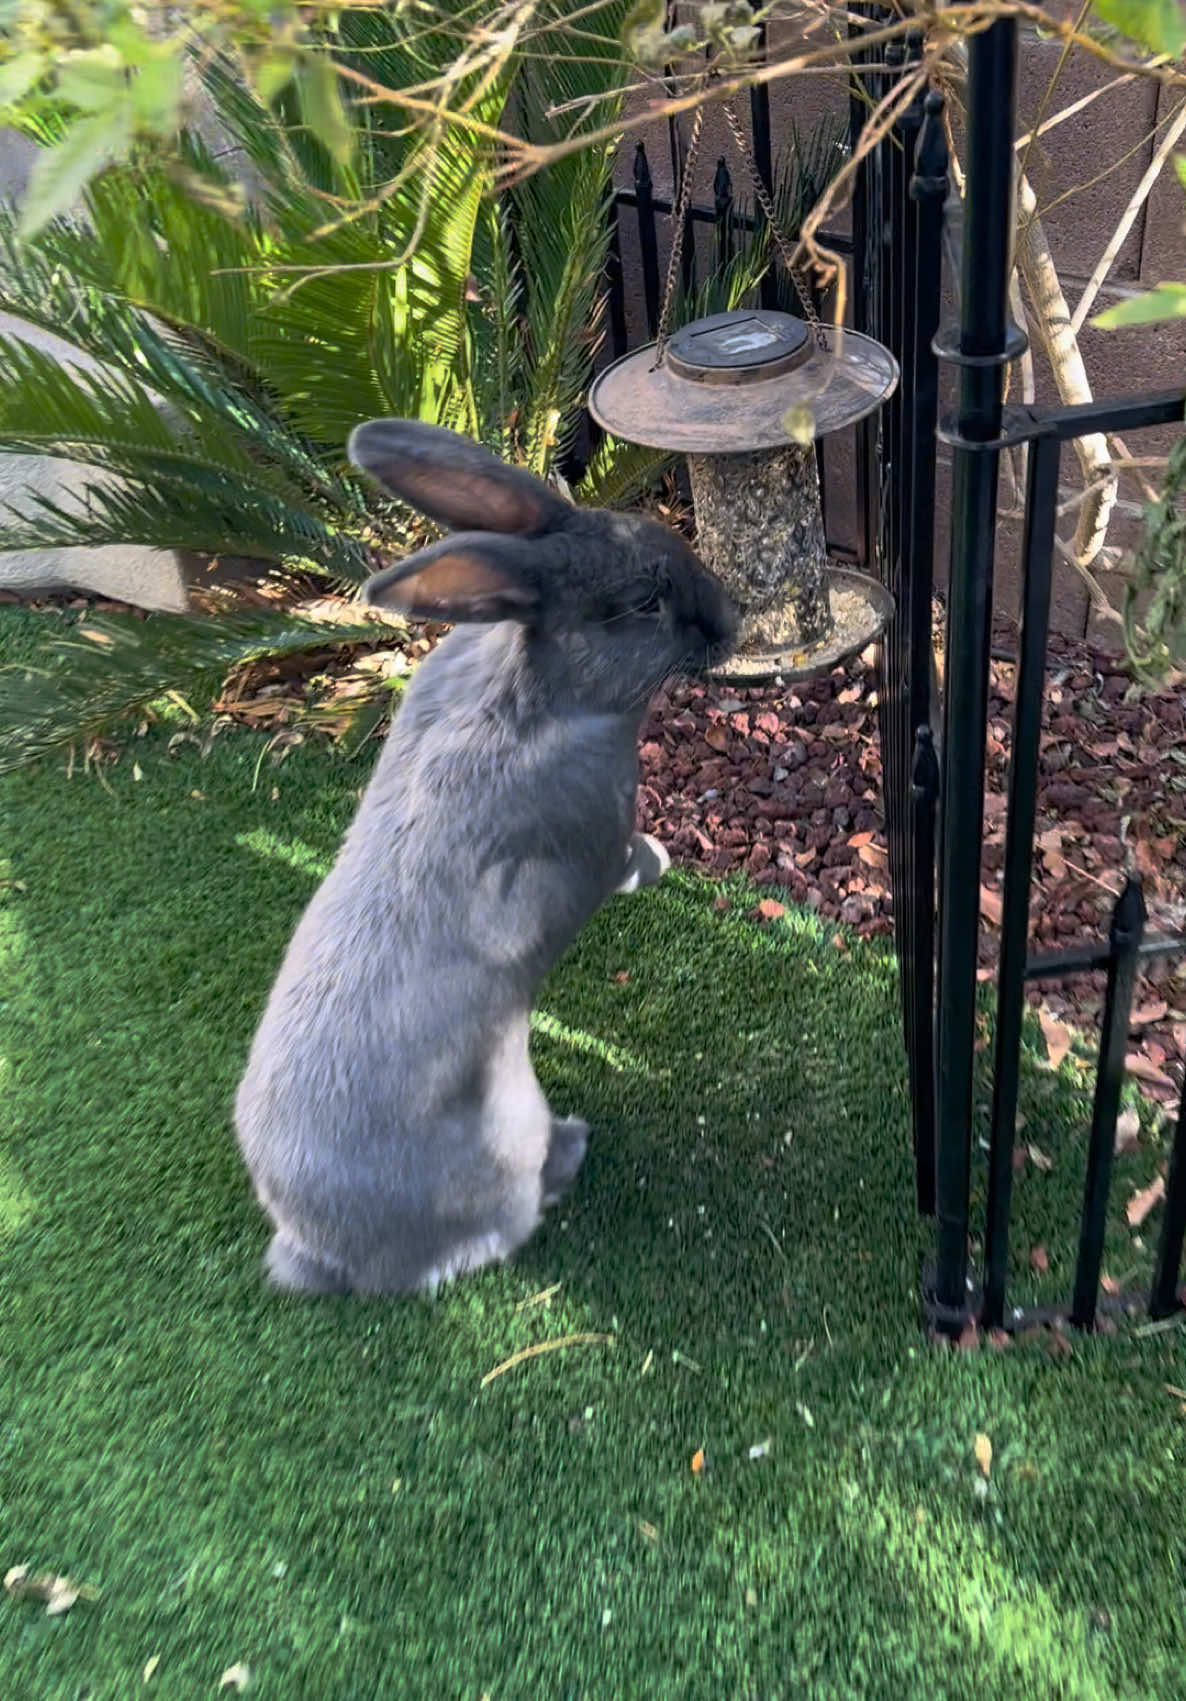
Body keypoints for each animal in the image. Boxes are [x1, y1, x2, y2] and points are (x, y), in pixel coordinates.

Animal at [233, 419, 737, 1295]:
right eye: (644, 602)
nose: (730, 621)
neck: (544, 693)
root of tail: (313, 1243)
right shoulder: (597, 833)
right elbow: (622, 859)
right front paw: (661, 858)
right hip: (505, 1149)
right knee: (496, 1231)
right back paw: (569, 1150)